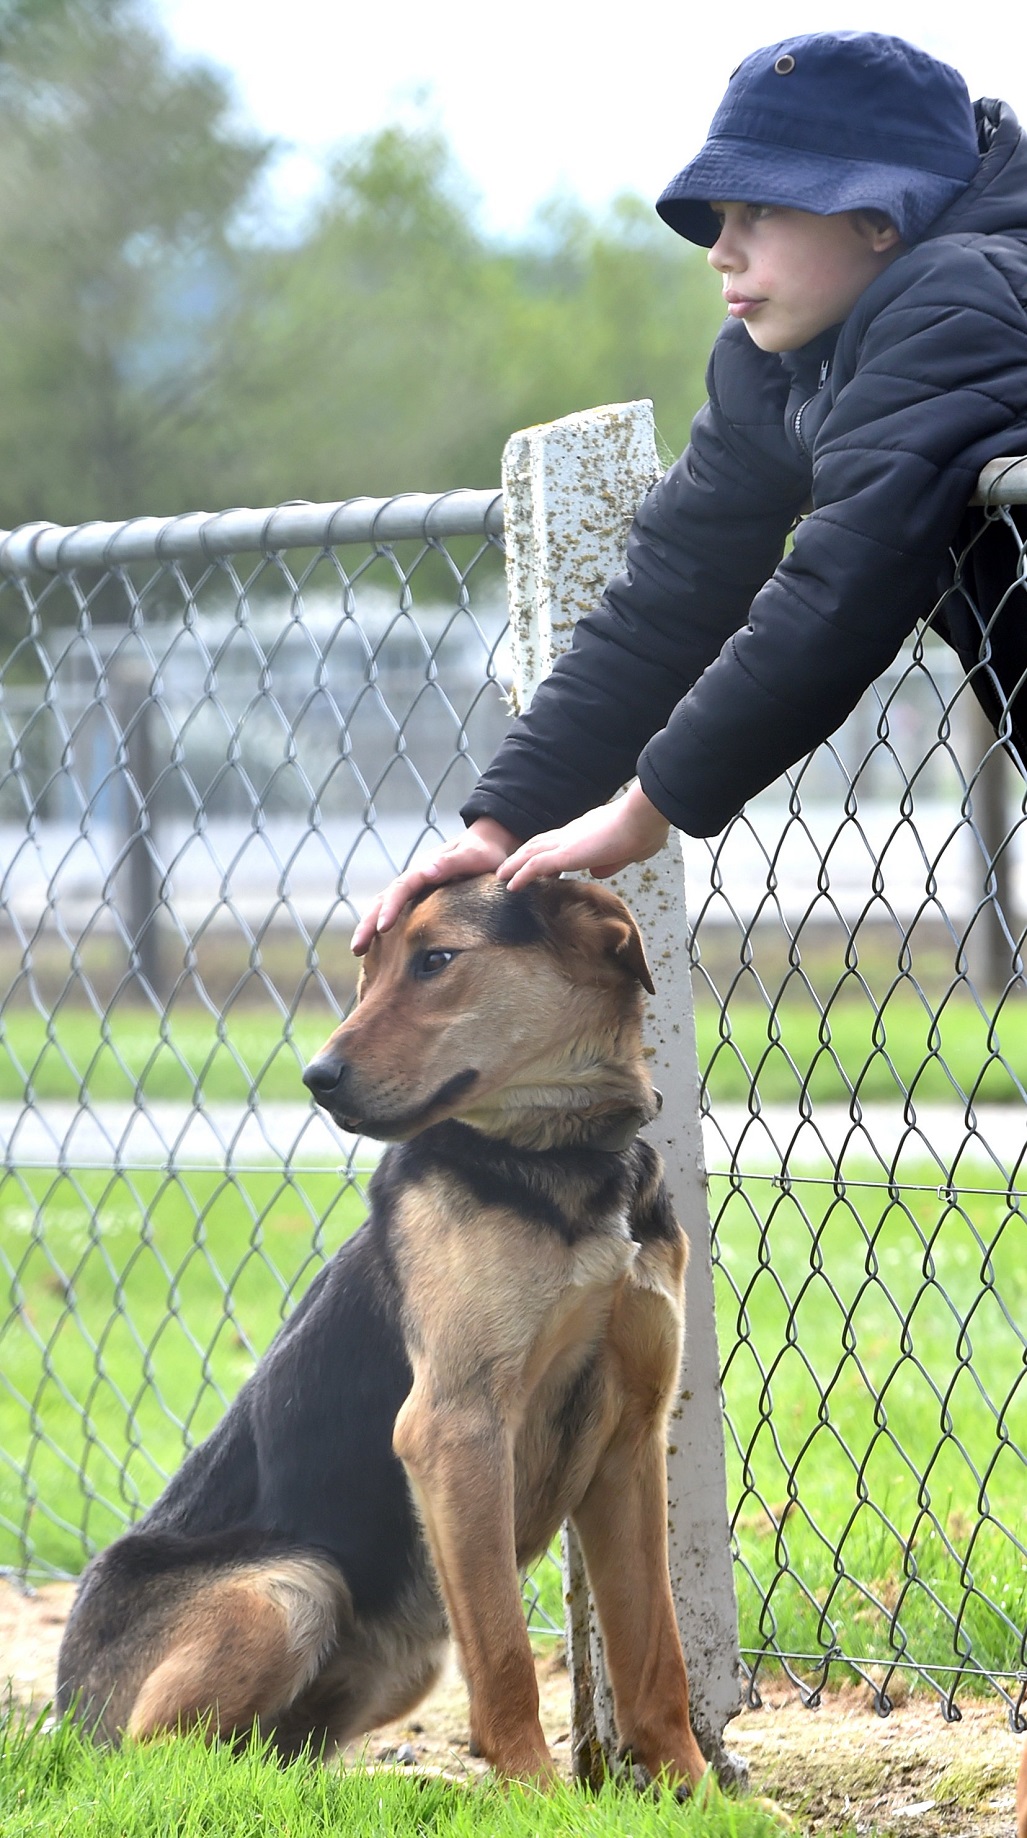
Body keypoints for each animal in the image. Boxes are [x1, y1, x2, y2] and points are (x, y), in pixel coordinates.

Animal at [56, 874, 712, 1793]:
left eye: (436, 961)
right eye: (367, 975)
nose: (316, 1078)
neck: (564, 1159)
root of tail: (65, 1718)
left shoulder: (630, 1441)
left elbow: (655, 1652)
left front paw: (695, 1793)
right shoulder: (454, 1428)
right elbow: (504, 1654)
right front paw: (537, 1797)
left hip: (396, 1661)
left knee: (274, 1757)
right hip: (290, 1586)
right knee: (171, 1766)